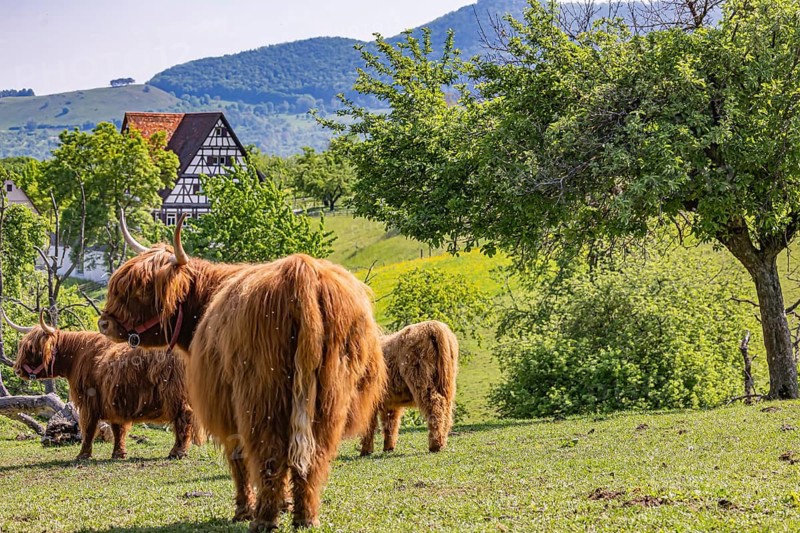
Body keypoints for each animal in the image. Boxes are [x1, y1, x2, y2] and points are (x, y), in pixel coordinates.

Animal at [3, 309, 199, 460]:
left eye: (31, 349)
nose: (17, 370)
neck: (76, 356)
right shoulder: (114, 400)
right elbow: (117, 428)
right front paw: (118, 454)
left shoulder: (89, 400)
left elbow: (88, 428)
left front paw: (82, 455)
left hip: (175, 393)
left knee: (184, 417)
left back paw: (177, 452)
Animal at [97, 213, 386, 530]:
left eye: (139, 289)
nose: (104, 323)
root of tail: (300, 272)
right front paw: (285, 504)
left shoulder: (226, 407)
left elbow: (237, 457)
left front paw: (243, 510)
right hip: (329, 395)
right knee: (314, 455)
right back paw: (305, 516)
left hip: (262, 396)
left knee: (270, 452)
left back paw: (263, 518)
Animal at [360, 321, 459, 456]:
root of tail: (433, 326)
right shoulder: (390, 402)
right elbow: (390, 422)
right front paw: (388, 447)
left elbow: (369, 425)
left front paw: (366, 450)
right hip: (447, 382)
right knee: (447, 410)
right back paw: (442, 442)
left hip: (420, 376)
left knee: (435, 405)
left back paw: (435, 445)